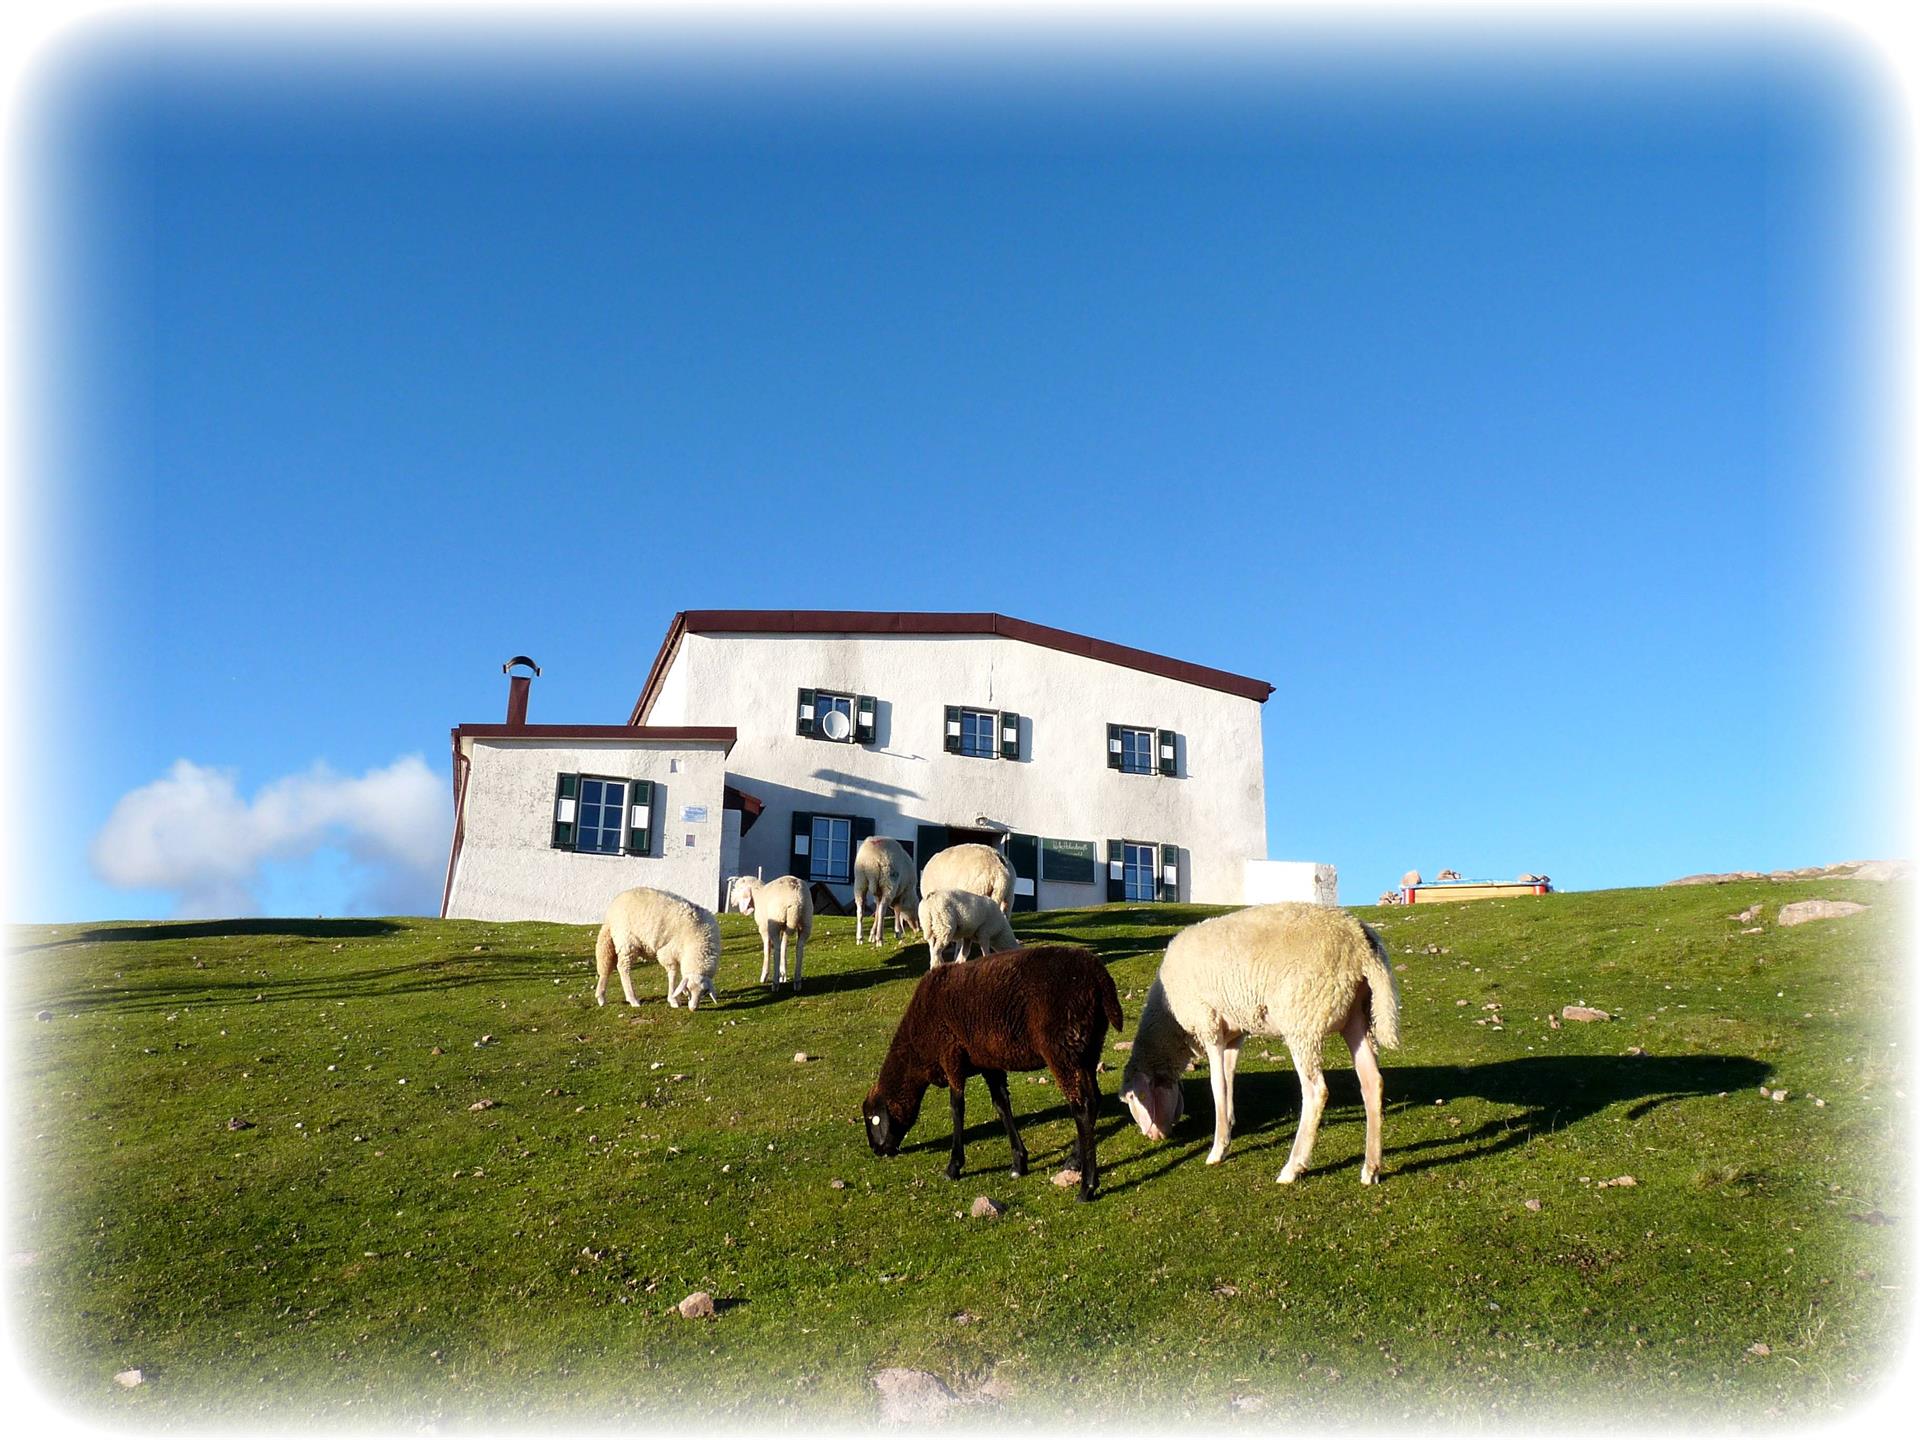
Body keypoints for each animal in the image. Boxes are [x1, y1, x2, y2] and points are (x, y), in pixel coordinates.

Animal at [591, 890, 721, 1013]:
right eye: (689, 988)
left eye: (704, 992)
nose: (693, 1009)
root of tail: (611, 912)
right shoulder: (668, 953)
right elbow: (673, 974)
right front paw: (673, 999)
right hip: (627, 942)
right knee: (623, 968)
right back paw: (632, 999)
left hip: (614, 942)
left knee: (606, 966)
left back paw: (601, 997)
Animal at [860, 948, 1121, 1205]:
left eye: (872, 1119)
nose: (876, 1150)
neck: (915, 1052)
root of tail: (1099, 977)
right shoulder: (988, 1062)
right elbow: (1001, 1104)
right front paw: (1018, 1162)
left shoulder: (951, 1055)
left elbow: (957, 1108)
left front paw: (953, 1167)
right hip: (1087, 1049)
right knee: (1093, 1099)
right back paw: (1074, 1160)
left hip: (1062, 1050)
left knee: (1081, 1107)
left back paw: (1087, 1187)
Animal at [1121, 906, 1405, 1190]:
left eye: (1134, 1098)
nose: (1152, 1137)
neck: (1170, 1026)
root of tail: (1360, 942)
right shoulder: (1234, 1034)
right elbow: (1229, 1078)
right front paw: (1228, 1128)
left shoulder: (1208, 1025)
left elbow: (1217, 1085)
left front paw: (1217, 1149)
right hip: (1357, 1017)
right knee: (1372, 1082)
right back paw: (1371, 1169)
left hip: (1303, 1020)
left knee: (1316, 1092)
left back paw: (1293, 1167)